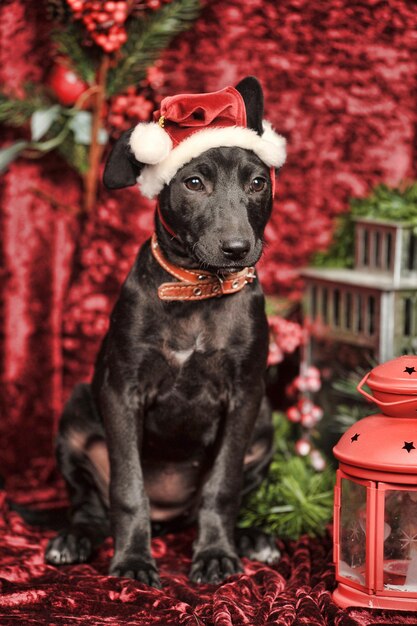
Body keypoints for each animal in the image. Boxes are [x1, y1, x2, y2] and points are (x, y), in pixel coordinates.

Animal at [46, 77, 286, 584]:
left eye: (258, 182)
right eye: (193, 182)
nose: (237, 248)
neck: (196, 290)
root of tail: (169, 514)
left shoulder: (245, 396)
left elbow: (222, 485)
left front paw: (216, 553)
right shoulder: (121, 390)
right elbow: (127, 488)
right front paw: (133, 560)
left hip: (264, 423)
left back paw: (252, 537)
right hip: (76, 412)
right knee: (88, 505)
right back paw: (73, 539)